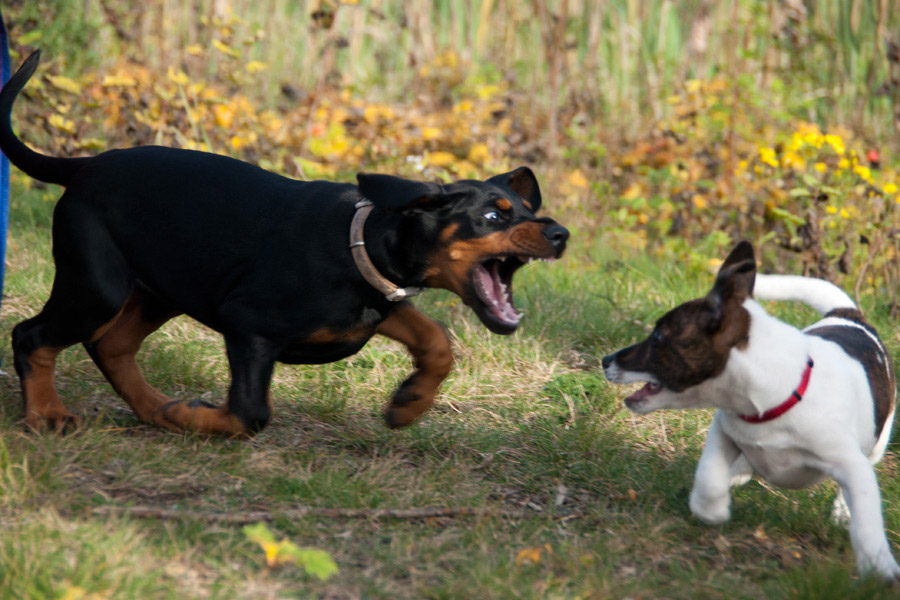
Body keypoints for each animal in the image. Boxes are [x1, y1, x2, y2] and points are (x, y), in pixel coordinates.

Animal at [0, 51, 568, 436]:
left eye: (528, 211)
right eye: (492, 215)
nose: (560, 234)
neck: (359, 247)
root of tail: (84, 166)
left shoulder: (379, 305)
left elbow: (436, 339)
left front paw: (409, 403)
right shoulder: (248, 325)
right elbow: (250, 413)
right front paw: (194, 412)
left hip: (160, 288)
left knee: (110, 345)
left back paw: (154, 410)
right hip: (97, 285)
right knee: (32, 335)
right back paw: (49, 415)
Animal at [600, 241, 896, 580]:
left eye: (658, 338)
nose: (606, 360)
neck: (772, 402)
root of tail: (849, 315)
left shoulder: (852, 464)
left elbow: (866, 516)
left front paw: (878, 566)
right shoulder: (723, 428)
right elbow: (710, 471)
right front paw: (710, 509)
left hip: (877, 444)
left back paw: (840, 514)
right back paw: (738, 474)